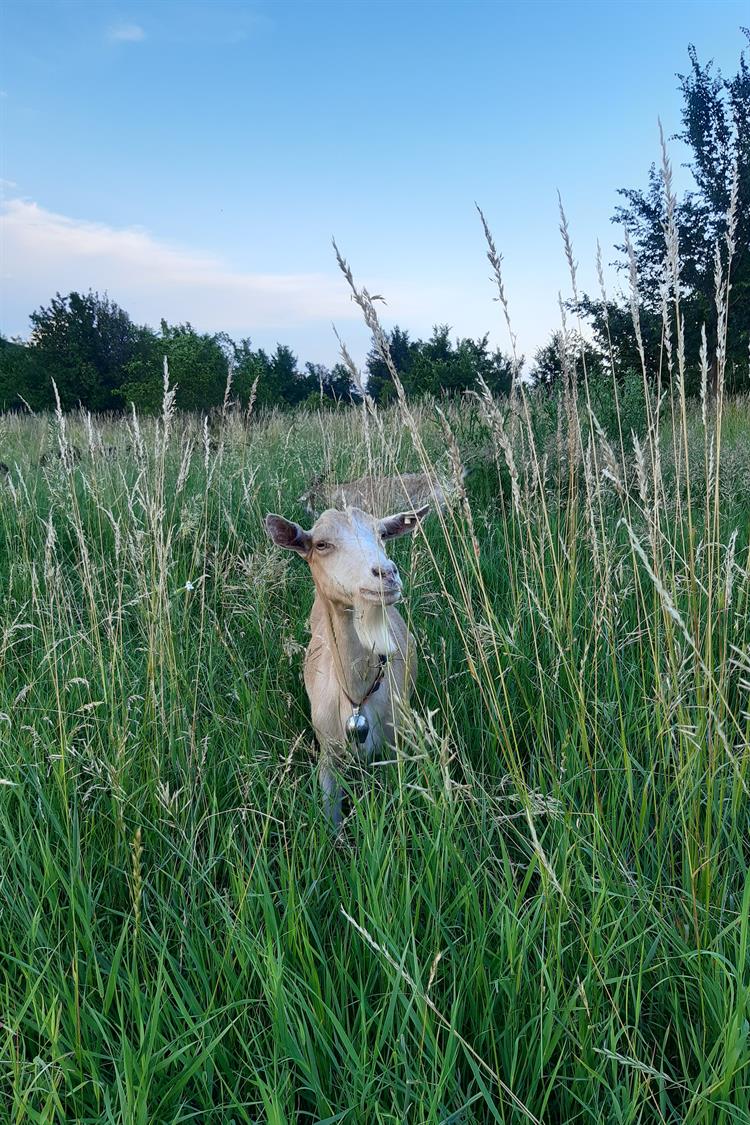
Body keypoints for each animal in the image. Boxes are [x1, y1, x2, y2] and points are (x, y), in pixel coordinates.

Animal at [265, 506, 427, 823]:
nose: (386, 573)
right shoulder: (328, 755)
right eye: (321, 544)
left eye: (382, 534)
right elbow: (330, 817)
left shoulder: (396, 747)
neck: (356, 697)